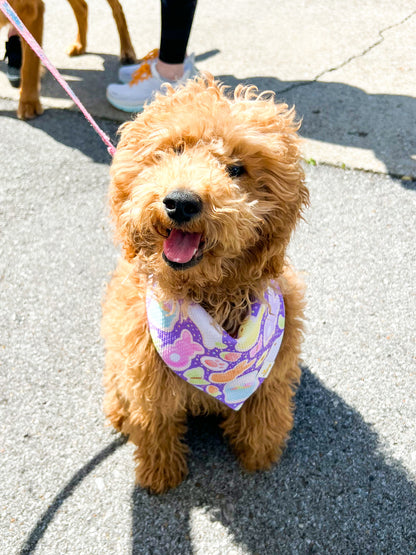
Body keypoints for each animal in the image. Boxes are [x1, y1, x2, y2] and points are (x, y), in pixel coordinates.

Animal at [0, 0, 136, 119]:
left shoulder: (32, 12)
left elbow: (29, 67)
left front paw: (29, 103)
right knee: (82, 8)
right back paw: (80, 45)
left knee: (117, 9)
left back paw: (127, 51)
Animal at [101, 75, 308, 496]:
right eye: (174, 150)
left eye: (236, 169)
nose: (180, 202)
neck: (211, 294)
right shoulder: (146, 375)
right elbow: (154, 425)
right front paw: (160, 474)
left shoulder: (274, 371)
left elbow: (266, 409)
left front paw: (259, 454)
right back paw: (119, 415)